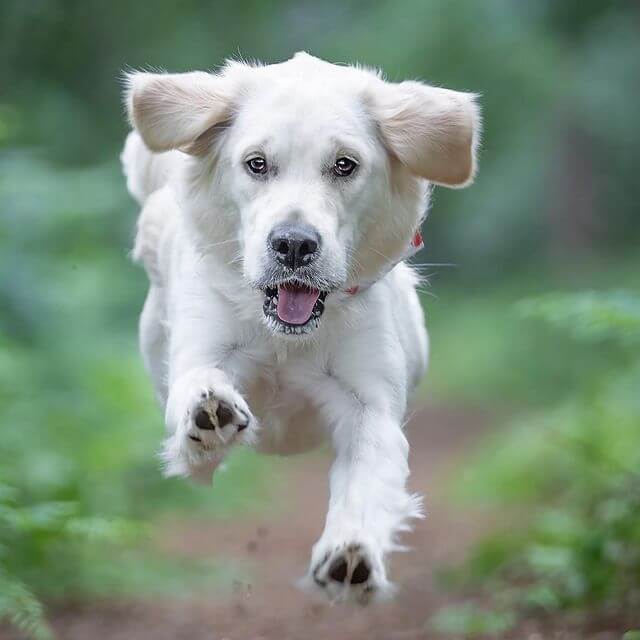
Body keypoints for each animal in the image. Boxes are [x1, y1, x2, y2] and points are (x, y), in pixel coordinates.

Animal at [121, 51, 480, 604]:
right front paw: (210, 413)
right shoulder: (203, 349)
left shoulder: (367, 403)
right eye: (257, 163)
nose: (293, 244)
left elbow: (367, 481)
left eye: (345, 165)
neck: (286, 340)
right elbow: (198, 391)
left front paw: (350, 554)